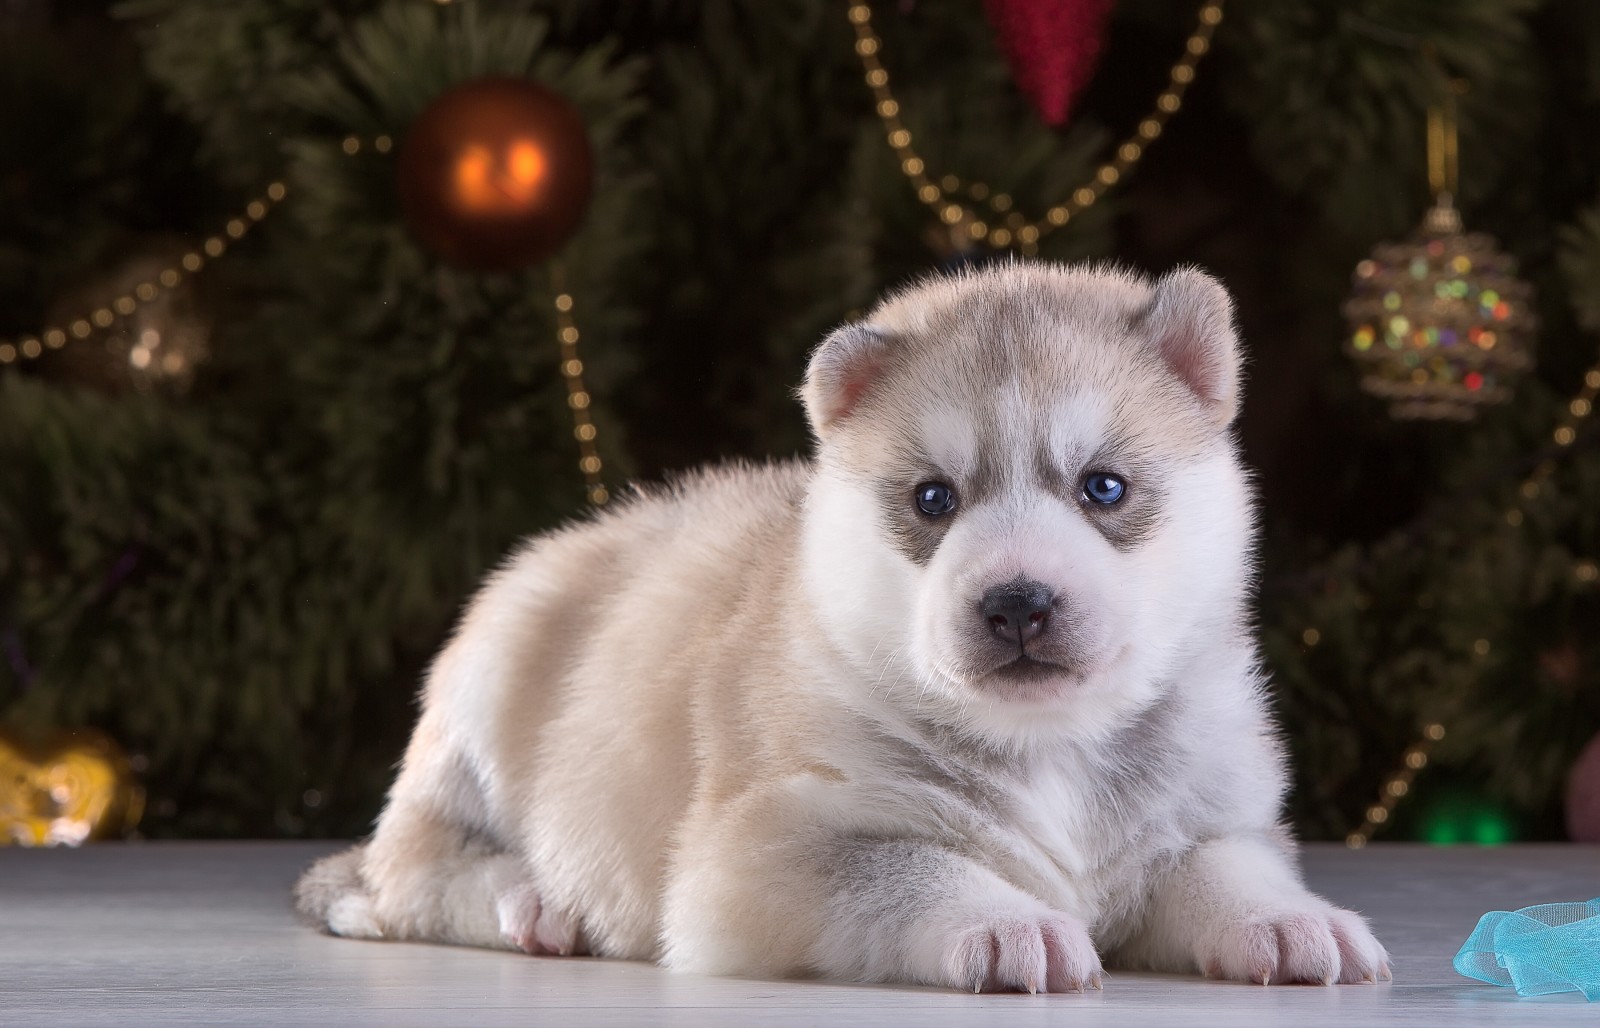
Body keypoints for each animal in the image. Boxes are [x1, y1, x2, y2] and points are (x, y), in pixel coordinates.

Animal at [297, 259, 1388, 986]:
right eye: (933, 499)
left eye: (1104, 487)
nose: (1018, 602)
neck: (1051, 747)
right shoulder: (765, 849)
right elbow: (911, 865)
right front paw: (1012, 922)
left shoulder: (1213, 816)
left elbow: (1225, 868)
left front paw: (1292, 920)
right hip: (483, 687)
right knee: (407, 879)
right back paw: (532, 899)